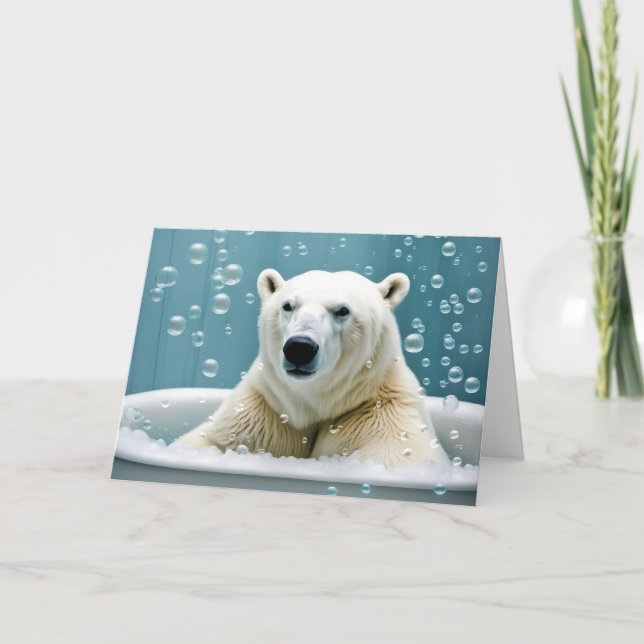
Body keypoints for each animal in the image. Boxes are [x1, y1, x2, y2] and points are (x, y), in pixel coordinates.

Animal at [175, 268, 449, 469]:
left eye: (343, 310)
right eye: (288, 306)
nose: (299, 348)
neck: (314, 402)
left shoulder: (380, 415)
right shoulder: (266, 408)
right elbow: (212, 442)